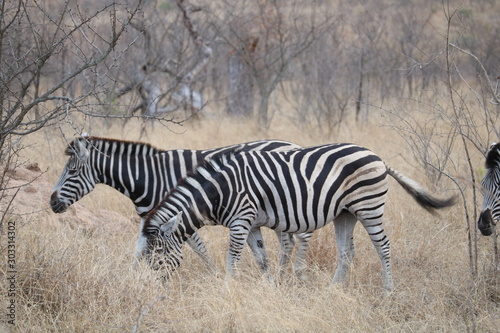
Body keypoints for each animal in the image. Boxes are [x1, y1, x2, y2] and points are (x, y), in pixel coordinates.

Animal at [48, 135, 310, 274]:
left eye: (72, 172)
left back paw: (288, 273)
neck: (149, 178)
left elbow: (199, 249)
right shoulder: (150, 221)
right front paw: (131, 277)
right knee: (289, 240)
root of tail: (293, 145)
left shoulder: (178, 216)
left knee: (294, 239)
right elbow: (139, 250)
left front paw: (214, 274)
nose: (52, 202)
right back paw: (282, 273)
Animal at [142, 143, 458, 290]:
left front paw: (228, 288)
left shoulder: (241, 219)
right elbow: (262, 259)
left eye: (157, 256)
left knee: (383, 247)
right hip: (346, 213)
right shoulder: (252, 223)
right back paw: (332, 290)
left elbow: (233, 258)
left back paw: (387, 291)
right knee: (346, 251)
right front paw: (271, 288)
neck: (218, 191)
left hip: (369, 207)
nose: (155, 288)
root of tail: (377, 156)